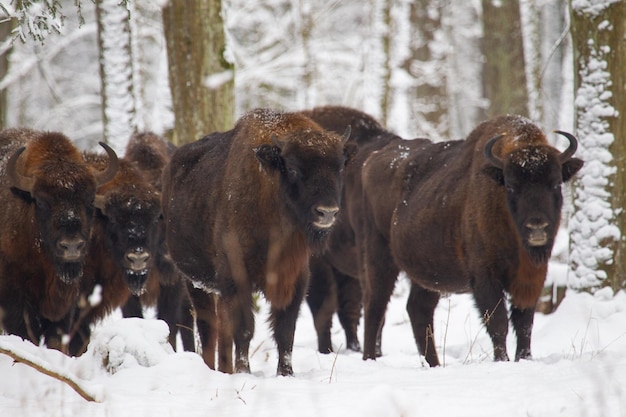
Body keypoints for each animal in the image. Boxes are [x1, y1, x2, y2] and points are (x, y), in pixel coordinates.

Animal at [161, 107, 352, 374]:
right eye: (293, 168)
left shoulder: (295, 278)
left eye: (340, 167)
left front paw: (286, 373)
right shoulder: (236, 278)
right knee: (209, 328)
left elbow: (285, 331)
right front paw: (244, 371)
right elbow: (244, 329)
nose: (327, 212)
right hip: (195, 281)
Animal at [358, 114, 584, 364]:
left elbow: (524, 324)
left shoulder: (531, 278)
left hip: (427, 275)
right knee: (375, 306)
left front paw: (524, 359)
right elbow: (498, 323)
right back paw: (370, 358)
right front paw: (502, 361)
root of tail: (371, 160)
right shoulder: (485, 277)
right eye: (512, 186)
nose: (537, 226)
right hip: (380, 258)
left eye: (556, 183)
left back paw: (434, 365)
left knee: (418, 309)